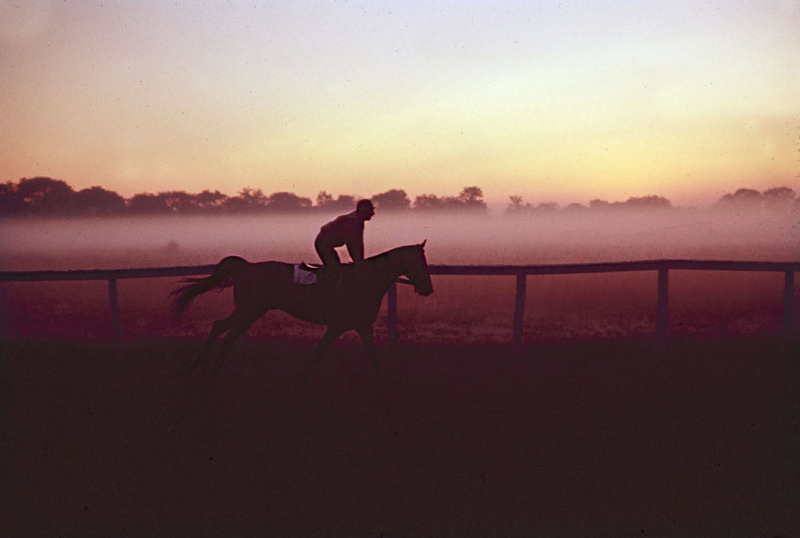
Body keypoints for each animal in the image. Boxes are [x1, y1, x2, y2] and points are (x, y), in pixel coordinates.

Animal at [169, 241, 432, 374]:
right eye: (420, 262)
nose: (428, 289)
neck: (364, 281)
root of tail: (247, 266)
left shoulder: (362, 326)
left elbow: (373, 357)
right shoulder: (337, 326)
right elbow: (318, 354)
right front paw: (304, 378)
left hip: (251, 311)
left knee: (225, 329)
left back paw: (209, 365)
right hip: (249, 310)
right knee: (223, 328)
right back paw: (207, 365)